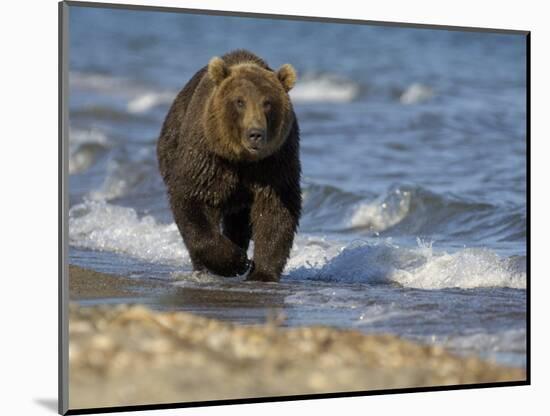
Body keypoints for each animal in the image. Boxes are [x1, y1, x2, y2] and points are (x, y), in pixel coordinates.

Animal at [157, 49, 302, 282]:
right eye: (240, 101)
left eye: (267, 102)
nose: (255, 134)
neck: (240, 159)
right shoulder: (208, 158)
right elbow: (192, 199)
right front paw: (237, 261)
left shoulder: (275, 163)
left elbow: (276, 211)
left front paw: (262, 272)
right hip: (171, 148)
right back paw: (204, 267)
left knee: (239, 221)